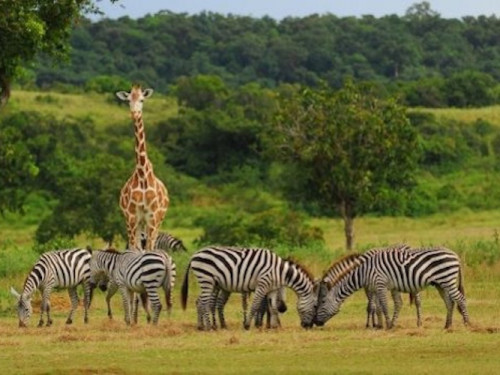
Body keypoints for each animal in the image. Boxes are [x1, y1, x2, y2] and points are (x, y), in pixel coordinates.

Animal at [115, 85, 169, 253]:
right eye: (128, 100)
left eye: (142, 100)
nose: (135, 113)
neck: (143, 174)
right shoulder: (132, 216)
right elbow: (135, 249)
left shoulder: (153, 217)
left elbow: (149, 249)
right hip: (133, 221)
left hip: (157, 220)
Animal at [182, 248, 318, 330]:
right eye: (315, 306)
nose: (308, 326)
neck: (279, 271)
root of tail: (195, 254)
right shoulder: (263, 284)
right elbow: (255, 305)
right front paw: (247, 325)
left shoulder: (272, 288)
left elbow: (272, 307)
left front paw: (274, 326)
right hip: (206, 279)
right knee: (205, 302)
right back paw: (210, 327)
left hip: (209, 282)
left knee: (200, 301)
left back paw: (201, 326)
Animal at [314, 247, 470, 328]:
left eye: (321, 302)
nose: (316, 322)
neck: (364, 271)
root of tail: (455, 254)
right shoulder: (377, 288)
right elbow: (382, 306)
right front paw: (385, 325)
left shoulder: (380, 285)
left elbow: (383, 306)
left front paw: (386, 325)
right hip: (441, 284)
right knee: (449, 302)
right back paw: (447, 325)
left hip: (447, 279)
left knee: (460, 299)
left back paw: (467, 323)